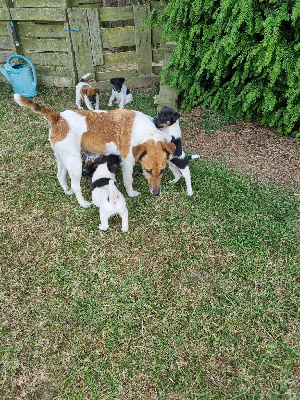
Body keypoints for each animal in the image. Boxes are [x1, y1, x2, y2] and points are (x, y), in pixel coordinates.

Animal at [14, 93, 176, 206]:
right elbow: (128, 181)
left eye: (162, 170)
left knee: (60, 176)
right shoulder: (128, 162)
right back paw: (83, 203)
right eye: (149, 170)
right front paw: (131, 193)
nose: (156, 193)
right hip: (75, 163)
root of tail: (58, 118)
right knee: (75, 185)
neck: (144, 132)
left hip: (62, 158)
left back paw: (67, 191)